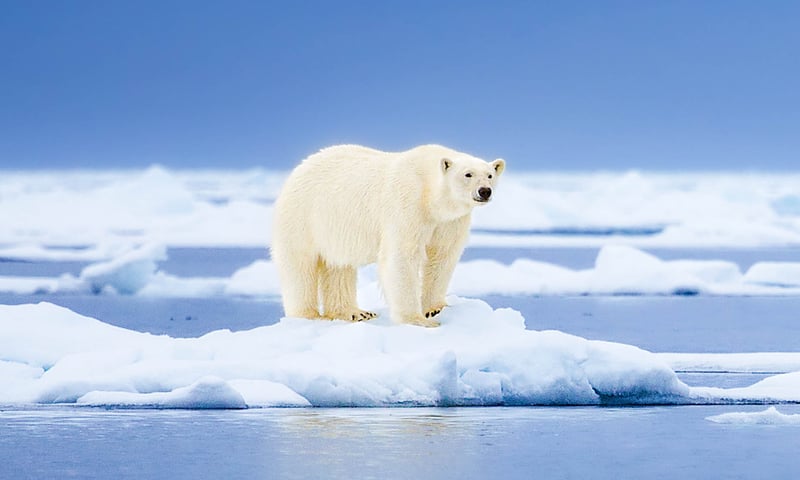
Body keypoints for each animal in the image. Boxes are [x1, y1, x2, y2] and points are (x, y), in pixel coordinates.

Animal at [271, 144, 505, 327]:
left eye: (490, 175)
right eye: (468, 174)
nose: (485, 191)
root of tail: (300, 168)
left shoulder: (449, 221)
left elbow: (442, 256)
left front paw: (434, 309)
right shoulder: (407, 204)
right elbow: (402, 256)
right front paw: (417, 320)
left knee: (339, 266)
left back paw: (355, 313)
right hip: (303, 216)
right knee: (300, 266)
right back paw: (309, 316)